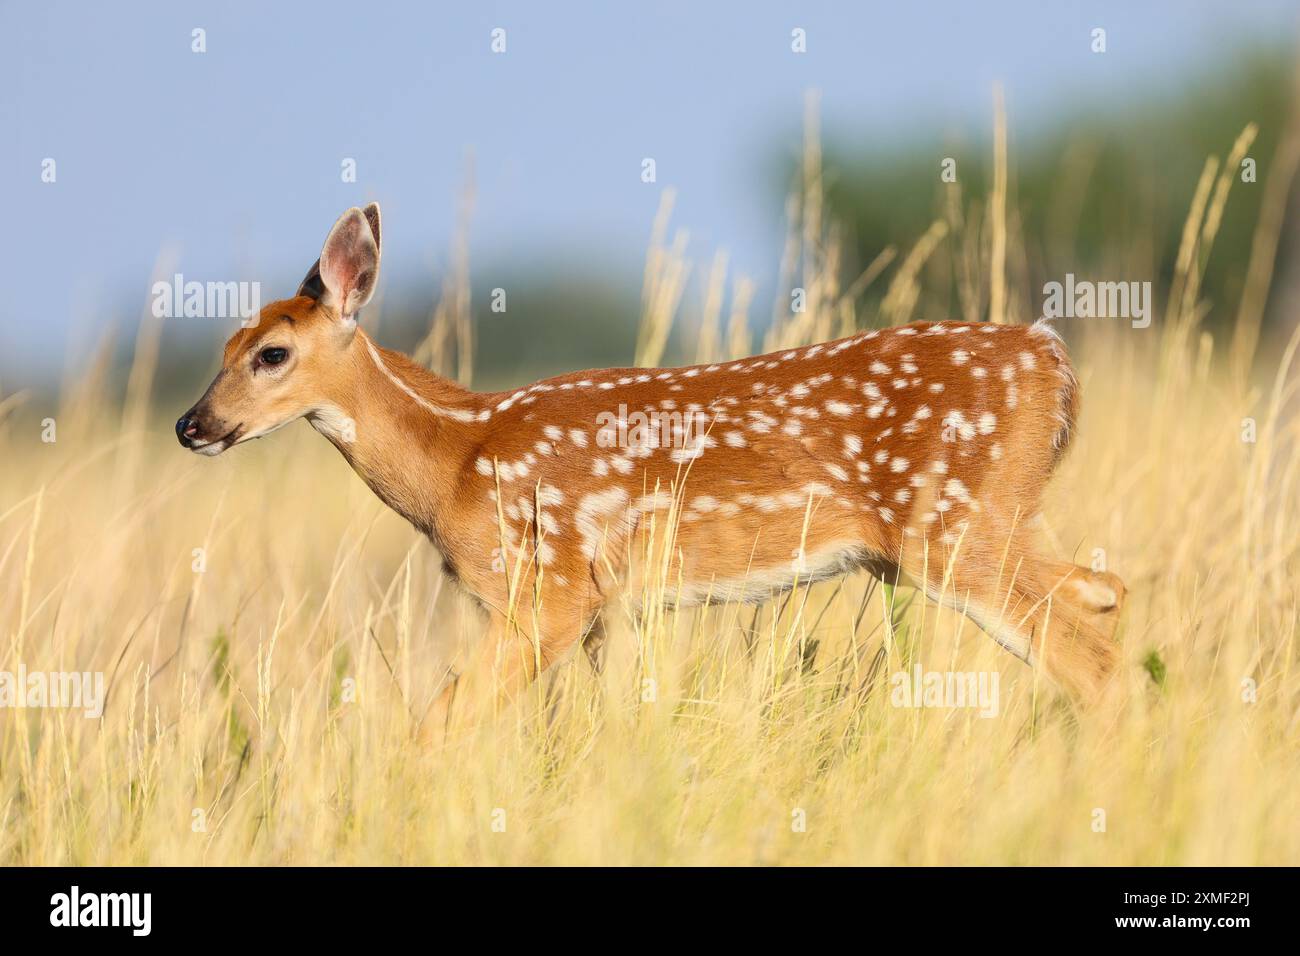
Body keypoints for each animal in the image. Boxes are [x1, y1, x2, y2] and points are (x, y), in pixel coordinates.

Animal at [177, 203, 1126, 731]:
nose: (192, 424)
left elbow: (439, 727)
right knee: (1107, 594)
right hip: (982, 524)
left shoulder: (549, 591)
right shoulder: (609, 608)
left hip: (955, 524)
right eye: (219, 346)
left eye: (270, 353)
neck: (457, 458)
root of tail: (1051, 360)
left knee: (1092, 647)